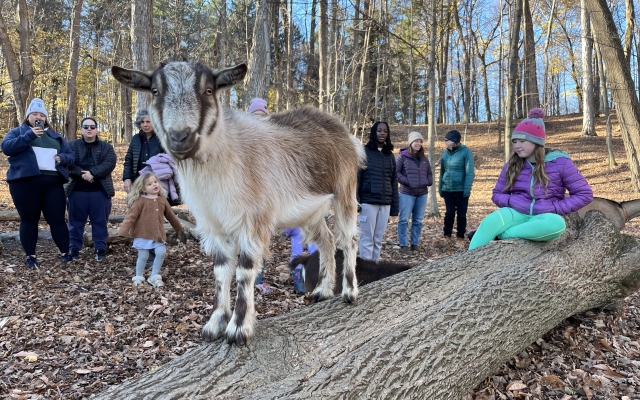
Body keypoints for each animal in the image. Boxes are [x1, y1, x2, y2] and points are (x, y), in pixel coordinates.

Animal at [111, 61, 366, 344]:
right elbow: (221, 270)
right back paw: (323, 290)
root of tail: (345, 133)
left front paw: (239, 328)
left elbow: (244, 270)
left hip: (345, 192)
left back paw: (349, 293)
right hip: (310, 212)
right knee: (326, 240)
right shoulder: (213, 224)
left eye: (208, 90)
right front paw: (215, 324)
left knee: (349, 238)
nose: (180, 137)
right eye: (155, 91)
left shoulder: (252, 221)